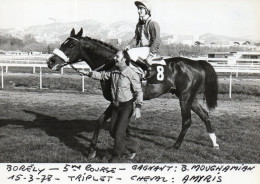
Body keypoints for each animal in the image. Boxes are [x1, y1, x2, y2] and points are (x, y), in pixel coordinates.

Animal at [46, 28, 219, 157]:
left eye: (70, 45)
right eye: (63, 43)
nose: (50, 61)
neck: (112, 64)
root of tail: (197, 63)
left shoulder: (115, 100)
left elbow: (103, 121)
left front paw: (94, 149)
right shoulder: (119, 102)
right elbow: (108, 122)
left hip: (185, 97)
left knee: (187, 121)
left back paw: (176, 145)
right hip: (190, 97)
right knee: (205, 115)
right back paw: (215, 143)